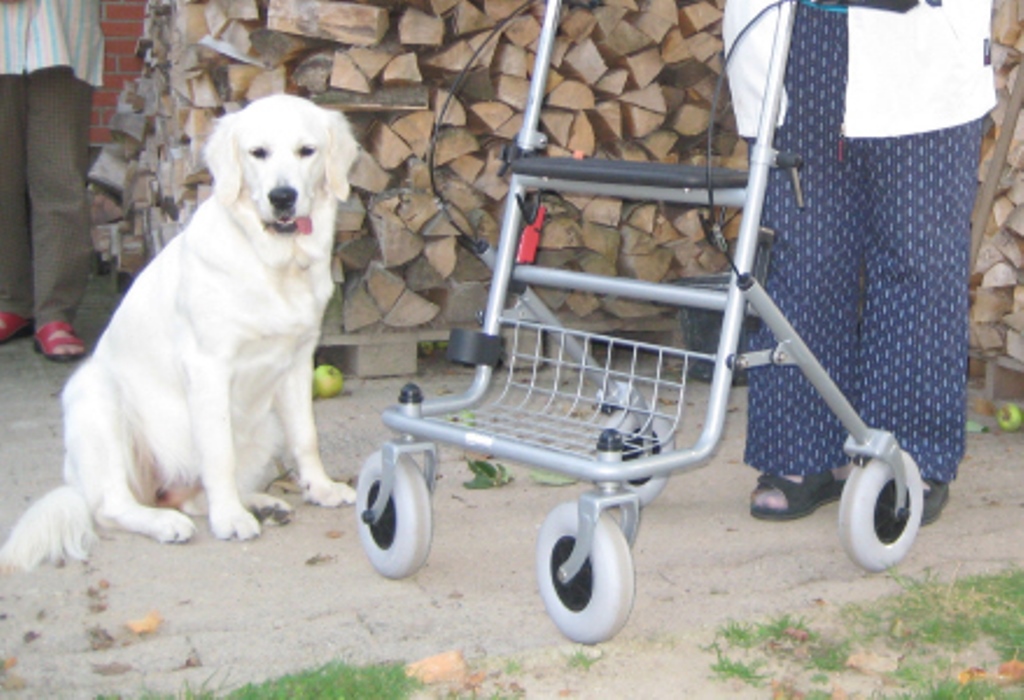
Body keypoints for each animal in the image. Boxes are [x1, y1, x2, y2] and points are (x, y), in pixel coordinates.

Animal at [0, 93, 362, 573]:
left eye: (307, 151)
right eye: (258, 152)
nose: (282, 197)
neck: (273, 263)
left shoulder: (299, 360)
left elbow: (306, 436)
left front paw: (320, 488)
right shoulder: (208, 367)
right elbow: (218, 451)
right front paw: (230, 520)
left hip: (263, 426)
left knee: (193, 497)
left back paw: (259, 503)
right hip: (97, 396)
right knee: (113, 505)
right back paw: (169, 522)